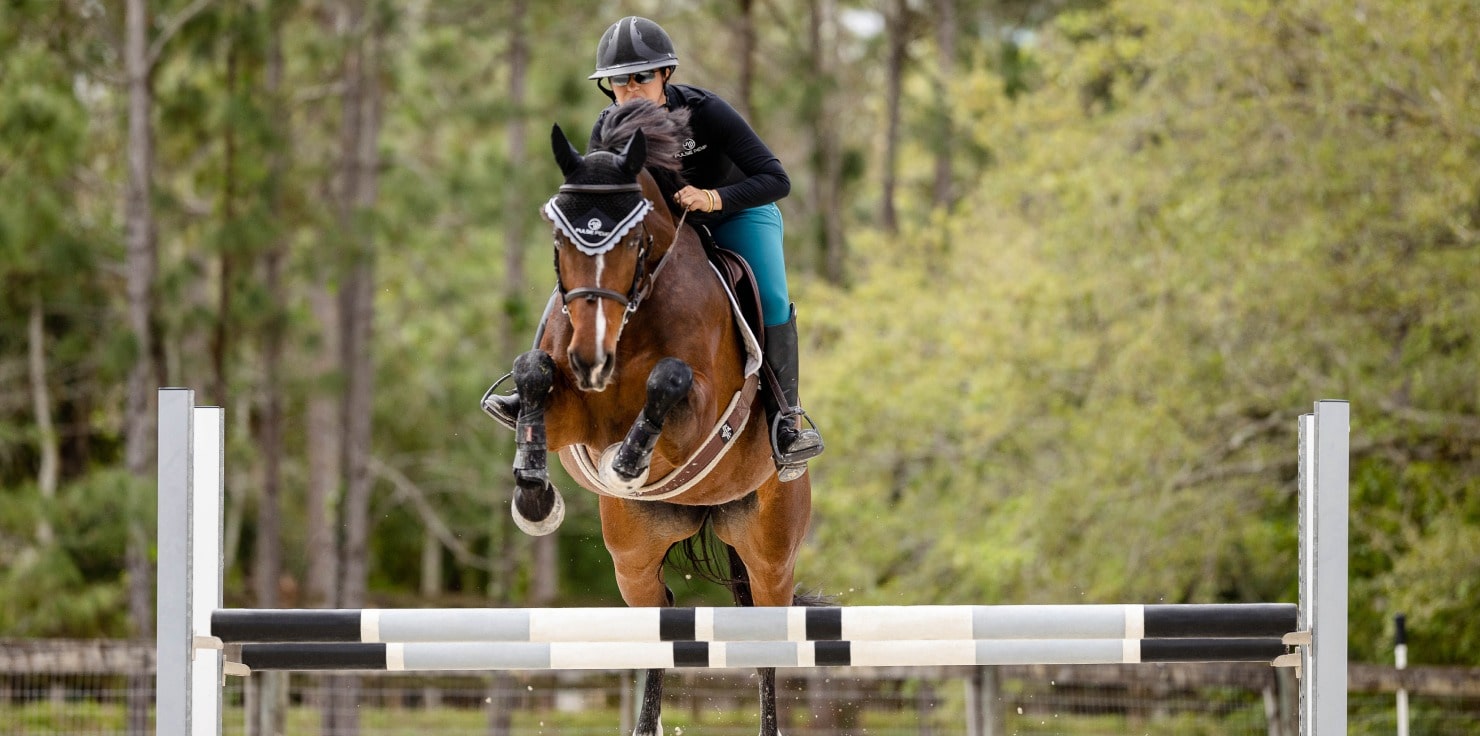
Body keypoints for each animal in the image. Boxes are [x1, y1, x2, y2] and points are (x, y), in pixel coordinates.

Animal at [498, 100, 815, 736]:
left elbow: (667, 382)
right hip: (633, 556)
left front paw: (628, 463)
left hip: (772, 551)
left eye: (633, 238)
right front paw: (535, 499)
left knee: (768, 636)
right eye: (559, 236)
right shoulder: (574, 415)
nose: (590, 359)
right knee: (659, 626)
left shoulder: (697, 418)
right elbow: (533, 373)